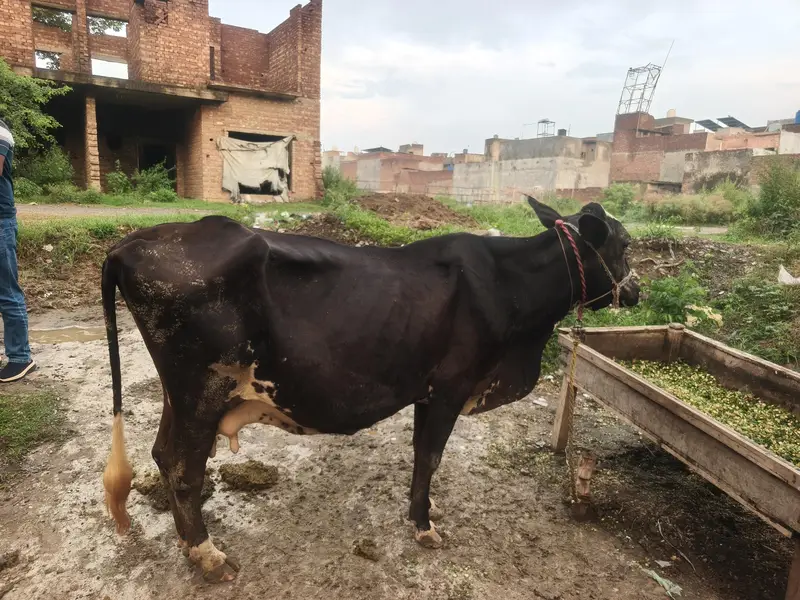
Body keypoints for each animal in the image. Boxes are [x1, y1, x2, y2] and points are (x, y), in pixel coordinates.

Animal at [101, 196, 639, 582]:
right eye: (627, 244)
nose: (635, 290)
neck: (509, 290)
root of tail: (133, 244)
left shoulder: (427, 391)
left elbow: (423, 455)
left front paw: (426, 508)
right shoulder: (450, 387)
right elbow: (431, 456)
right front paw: (423, 525)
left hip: (181, 397)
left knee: (161, 454)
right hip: (202, 392)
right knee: (183, 468)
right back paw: (208, 555)